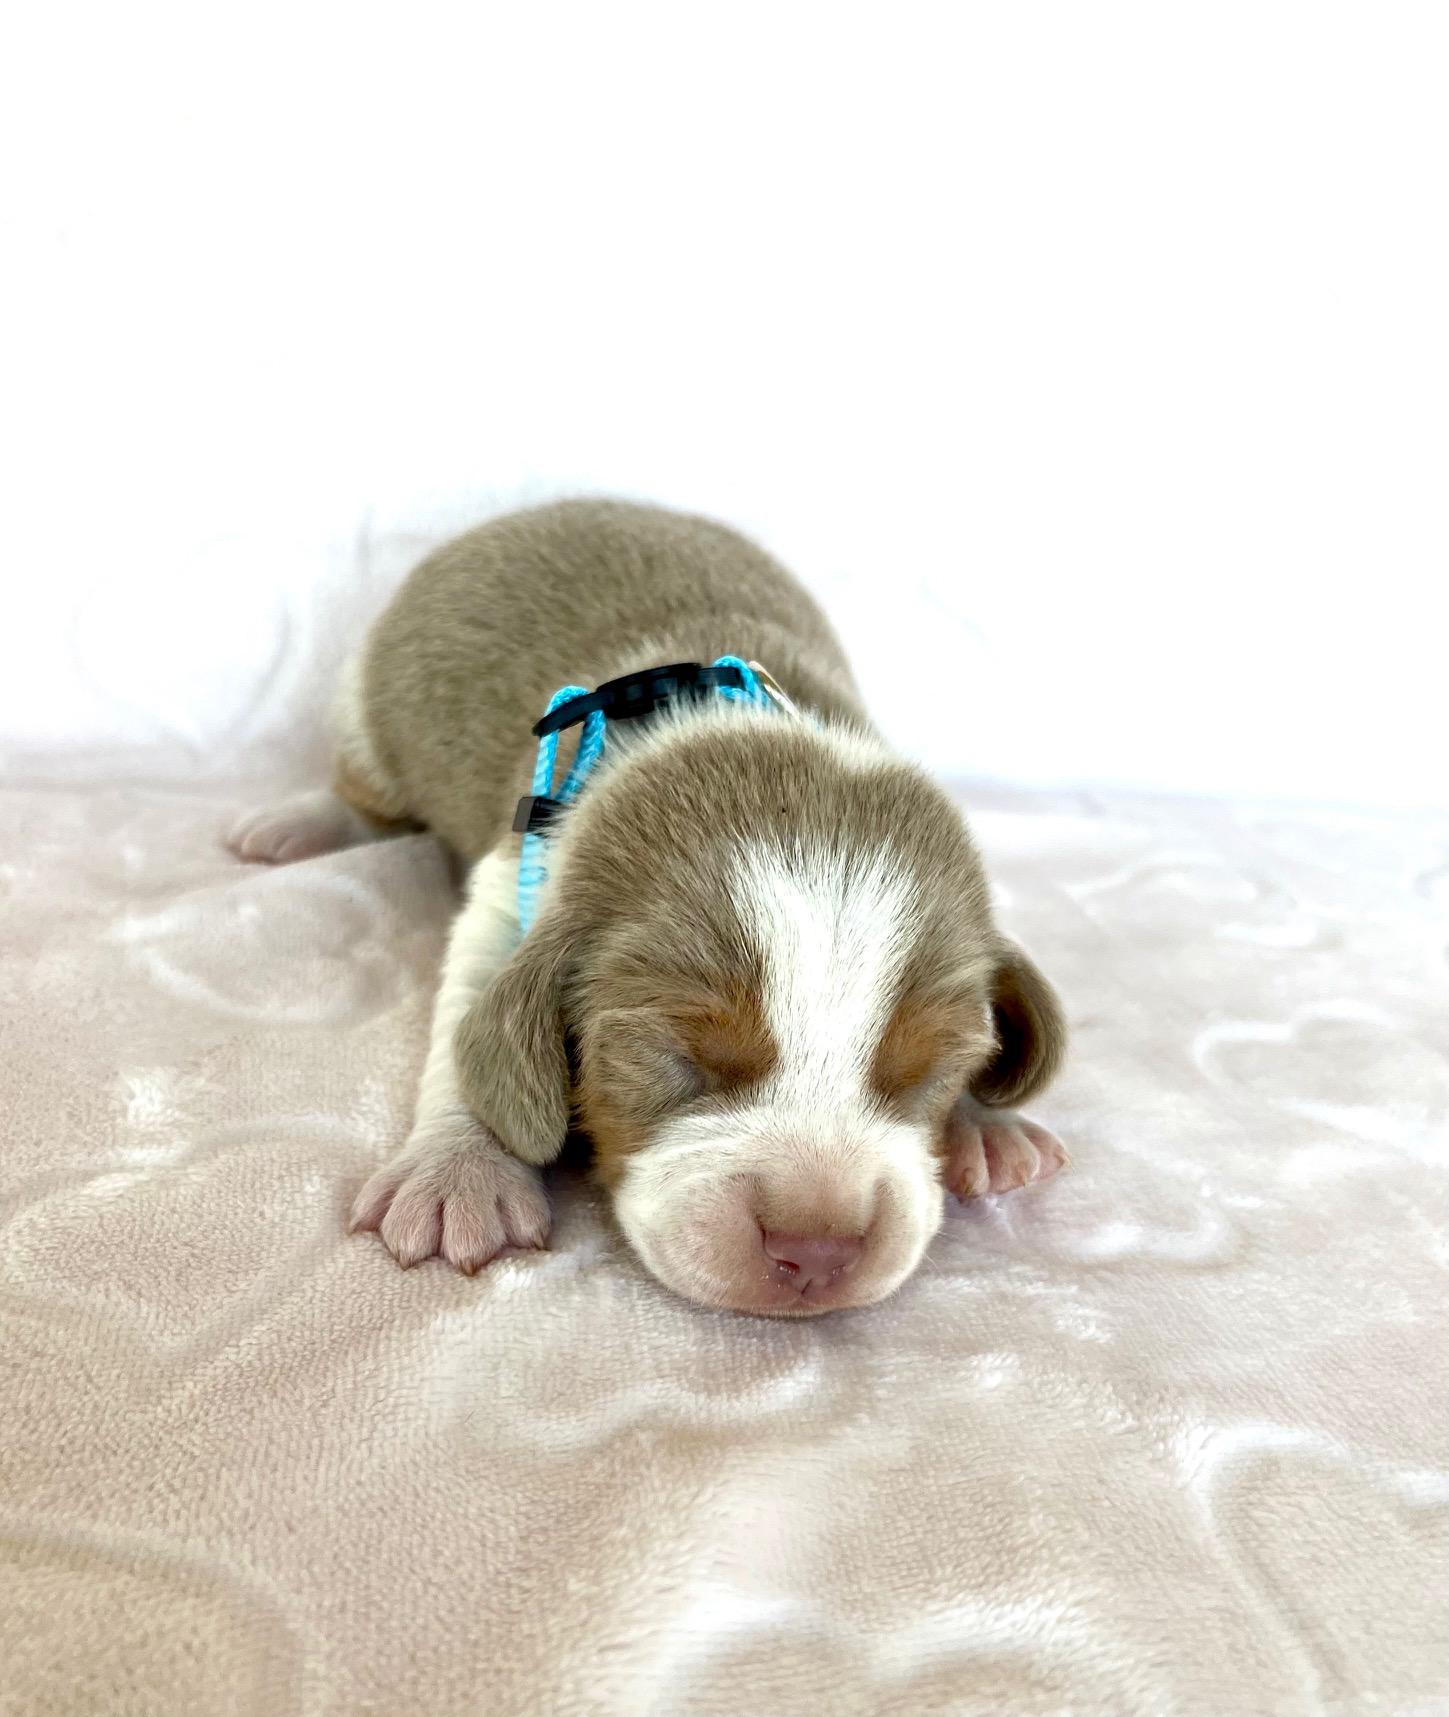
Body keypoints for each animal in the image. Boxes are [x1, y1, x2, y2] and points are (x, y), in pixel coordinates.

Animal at [229, 499, 1067, 1315]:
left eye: (933, 1065)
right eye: (676, 1056)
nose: (818, 1250)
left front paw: (984, 1124)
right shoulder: (510, 887)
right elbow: (471, 1018)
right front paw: (457, 1168)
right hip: (368, 711)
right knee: (366, 797)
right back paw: (296, 826)